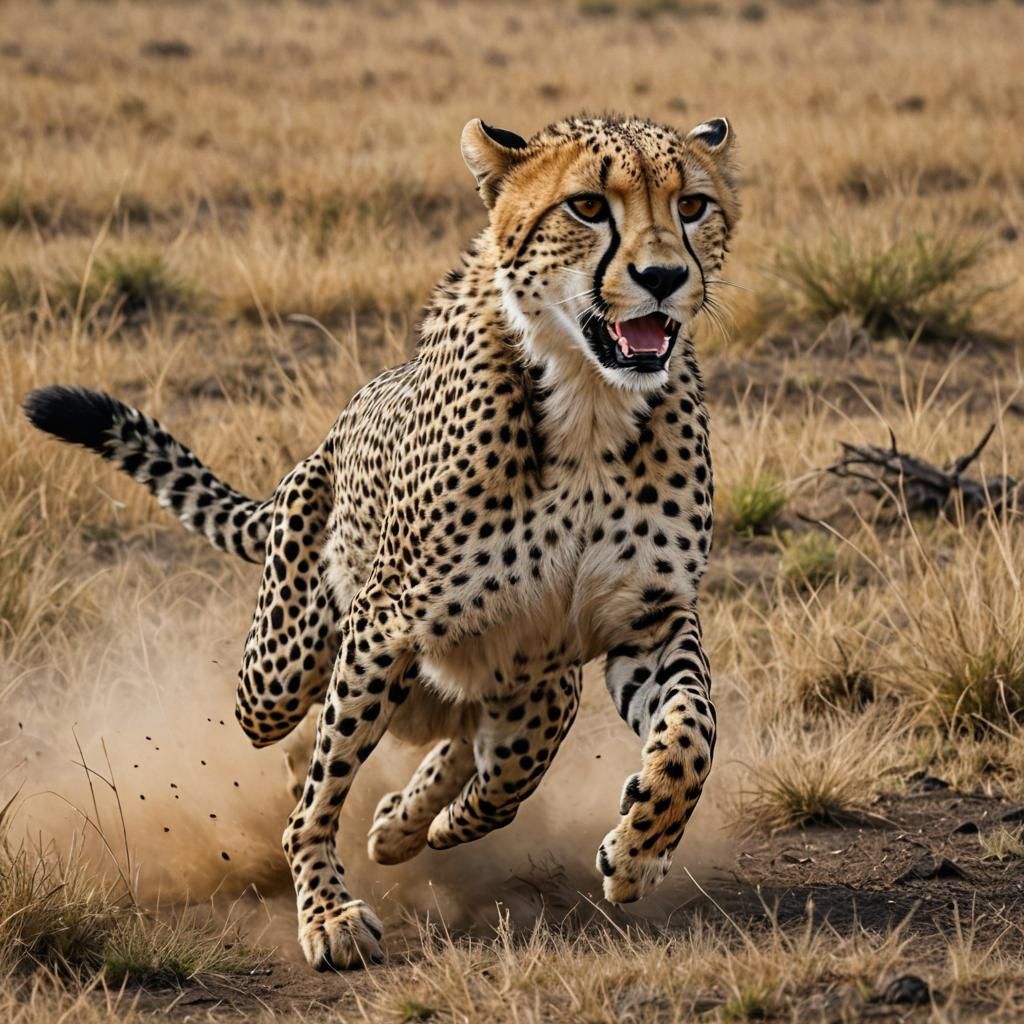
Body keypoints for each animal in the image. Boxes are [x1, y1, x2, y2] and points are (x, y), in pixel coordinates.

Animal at [24, 111, 740, 971]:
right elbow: (323, 793)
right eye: (588, 207)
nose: (664, 276)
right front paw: (328, 913)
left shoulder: (646, 621)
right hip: (276, 674)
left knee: (489, 738)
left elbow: (686, 732)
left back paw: (413, 819)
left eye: (693, 205)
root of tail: (324, 441)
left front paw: (639, 848)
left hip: (522, 675)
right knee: (301, 739)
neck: (589, 403)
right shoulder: (385, 624)